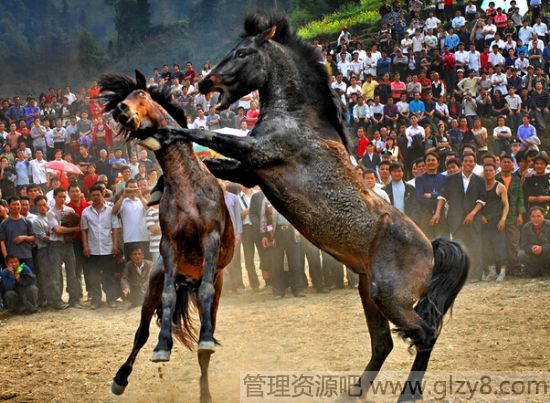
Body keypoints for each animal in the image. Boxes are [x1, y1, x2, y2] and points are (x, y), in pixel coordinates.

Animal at [99, 72, 235, 403]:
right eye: (125, 97)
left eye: (141, 96)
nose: (120, 109)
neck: (186, 187)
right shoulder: (169, 244)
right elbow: (169, 298)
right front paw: (162, 348)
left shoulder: (211, 238)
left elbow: (206, 294)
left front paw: (206, 340)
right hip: (153, 281)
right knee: (142, 332)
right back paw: (121, 378)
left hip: (214, 289)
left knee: (203, 348)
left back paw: (205, 385)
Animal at [143, 13, 470, 403]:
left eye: (242, 52)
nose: (205, 83)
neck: (297, 117)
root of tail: (432, 249)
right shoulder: (250, 171)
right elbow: (212, 162)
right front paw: (156, 187)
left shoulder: (258, 153)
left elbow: (208, 136)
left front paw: (164, 133)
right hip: (370, 294)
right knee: (383, 344)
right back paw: (353, 392)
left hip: (390, 297)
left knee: (426, 335)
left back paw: (408, 394)